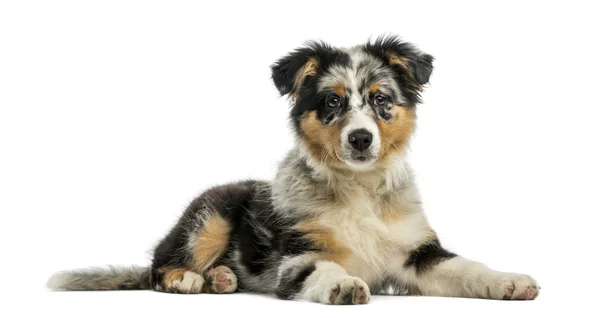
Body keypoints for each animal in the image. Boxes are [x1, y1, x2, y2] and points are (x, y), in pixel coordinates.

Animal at [48, 34, 540, 304]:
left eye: (381, 100)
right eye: (332, 102)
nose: (360, 139)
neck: (359, 190)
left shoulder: (418, 253)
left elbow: (468, 268)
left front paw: (509, 281)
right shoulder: (297, 256)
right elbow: (324, 270)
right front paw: (343, 286)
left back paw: (222, 278)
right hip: (208, 217)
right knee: (158, 265)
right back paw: (190, 278)